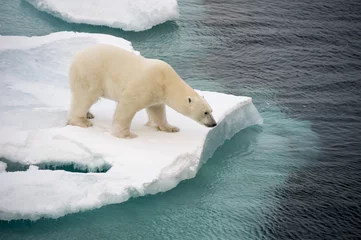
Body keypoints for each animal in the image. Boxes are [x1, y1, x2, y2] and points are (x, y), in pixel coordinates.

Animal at [66, 44, 215, 139]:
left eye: (211, 110)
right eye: (205, 112)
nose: (214, 124)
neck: (166, 80)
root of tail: (76, 55)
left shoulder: (157, 94)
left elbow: (157, 111)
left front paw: (171, 128)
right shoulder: (146, 83)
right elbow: (127, 106)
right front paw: (126, 135)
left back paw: (89, 114)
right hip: (91, 73)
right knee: (85, 96)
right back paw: (82, 121)